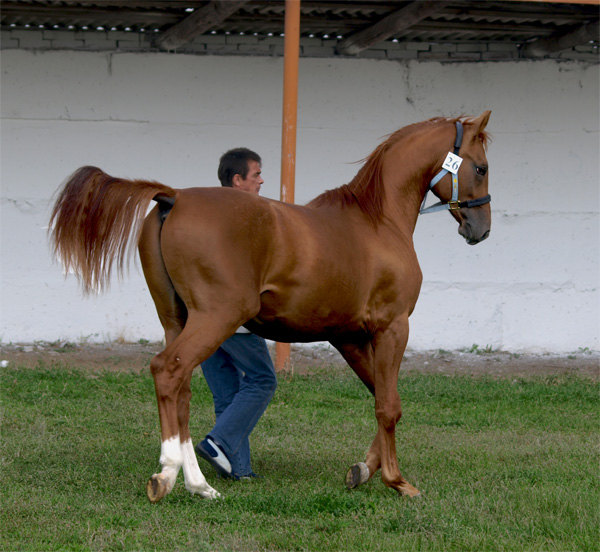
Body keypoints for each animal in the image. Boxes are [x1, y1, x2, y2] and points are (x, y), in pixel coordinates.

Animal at [49, 110, 492, 502]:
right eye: (482, 167)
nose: (481, 229)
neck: (377, 222)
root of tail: (173, 197)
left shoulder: (348, 337)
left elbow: (380, 395)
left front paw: (364, 469)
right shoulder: (392, 327)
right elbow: (389, 405)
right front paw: (397, 481)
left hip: (176, 320)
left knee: (182, 390)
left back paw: (199, 484)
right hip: (216, 318)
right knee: (168, 371)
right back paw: (170, 477)